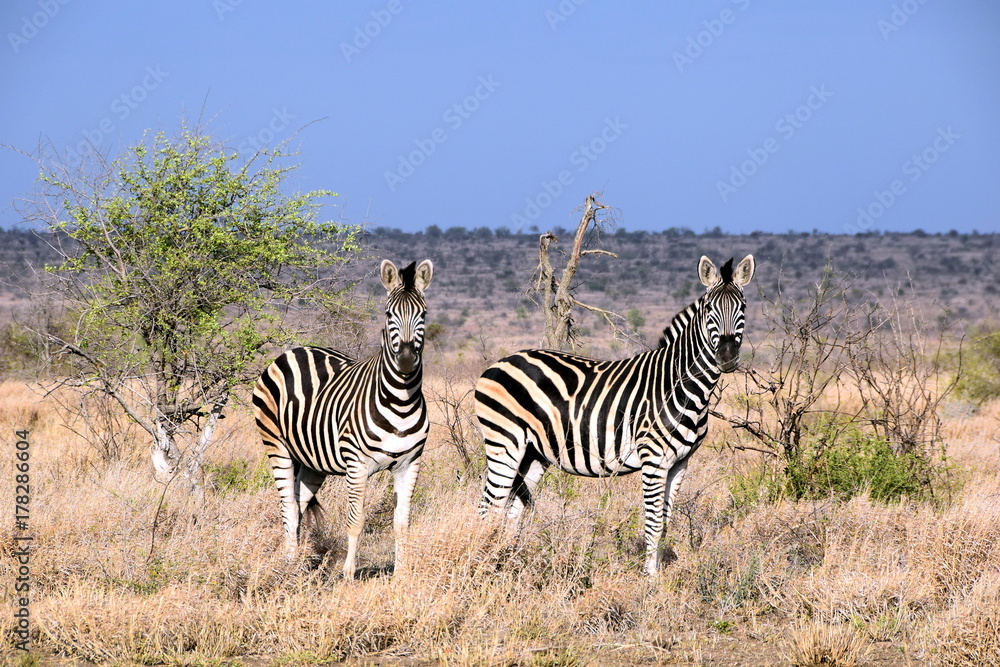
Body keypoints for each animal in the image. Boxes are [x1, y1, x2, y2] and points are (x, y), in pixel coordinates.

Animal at [253, 259, 433, 580]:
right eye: (388, 314)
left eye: (422, 314)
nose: (406, 360)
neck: (401, 400)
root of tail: (296, 349)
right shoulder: (356, 464)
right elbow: (356, 520)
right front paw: (348, 574)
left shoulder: (410, 463)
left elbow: (402, 523)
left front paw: (402, 573)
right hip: (276, 446)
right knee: (288, 507)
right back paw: (288, 564)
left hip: (312, 461)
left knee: (299, 504)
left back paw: (299, 562)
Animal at [475, 254, 754, 575]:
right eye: (709, 309)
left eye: (743, 307)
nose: (727, 357)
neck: (679, 384)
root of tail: (498, 363)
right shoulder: (653, 458)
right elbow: (653, 524)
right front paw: (649, 580)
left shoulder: (680, 463)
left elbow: (665, 523)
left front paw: (658, 576)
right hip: (504, 443)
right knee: (488, 508)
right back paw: (485, 567)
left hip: (533, 454)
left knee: (511, 511)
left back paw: (508, 564)